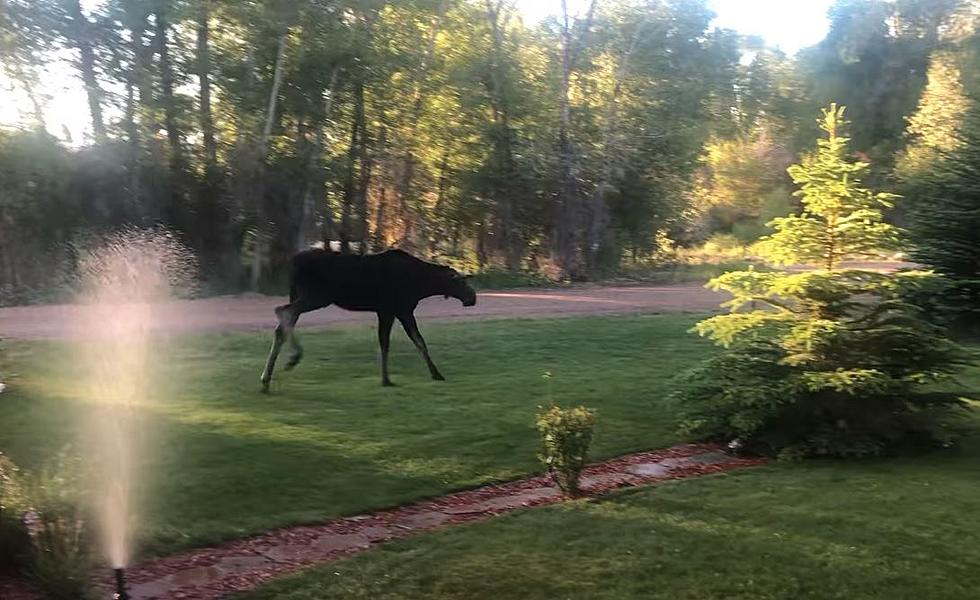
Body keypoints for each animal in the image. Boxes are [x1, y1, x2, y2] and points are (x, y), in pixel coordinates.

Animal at [260, 246, 474, 392]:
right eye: (462, 283)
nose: (473, 297)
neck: (423, 285)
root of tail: (293, 264)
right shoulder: (397, 310)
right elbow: (401, 343)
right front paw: (388, 379)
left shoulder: (392, 311)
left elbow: (406, 342)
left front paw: (433, 374)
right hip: (317, 296)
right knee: (283, 311)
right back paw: (292, 358)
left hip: (302, 295)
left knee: (281, 327)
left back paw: (267, 378)